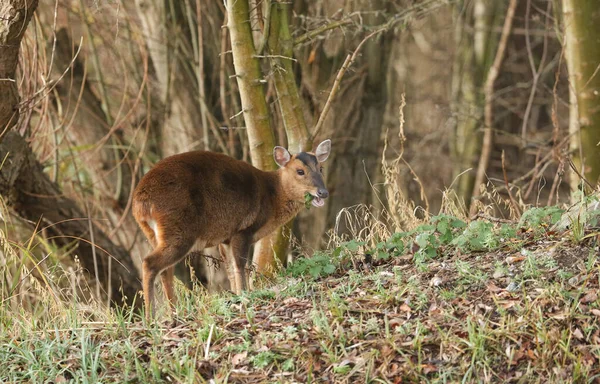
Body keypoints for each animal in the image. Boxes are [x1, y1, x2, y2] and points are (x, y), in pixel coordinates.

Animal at [132, 140, 332, 316]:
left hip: (154, 233)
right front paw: (244, 295)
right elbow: (240, 264)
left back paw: (173, 313)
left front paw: (236, 296)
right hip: (179, 229)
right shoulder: (243, 229)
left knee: (166, 270)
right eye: (300, 171)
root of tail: (141, 203)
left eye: (321, 169)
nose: (323, 192)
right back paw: (151, 318)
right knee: (150, 263)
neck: (271, 196)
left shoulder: (225, 238)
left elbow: (229, 268)